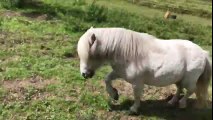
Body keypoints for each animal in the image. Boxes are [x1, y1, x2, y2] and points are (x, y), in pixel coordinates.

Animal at [77, 27, 211, 113]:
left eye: (89, 55)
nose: (84, 74)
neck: (128, 54)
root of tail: (203, 53)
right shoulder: (119, 73)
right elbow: (107, 79)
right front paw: (114, 94)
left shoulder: (137, 83)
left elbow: (137, 95)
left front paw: (134, 109)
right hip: (179, 79)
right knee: (179, 89)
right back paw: (171, 102)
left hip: (189, 80)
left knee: (190, 90)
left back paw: (182, 104)